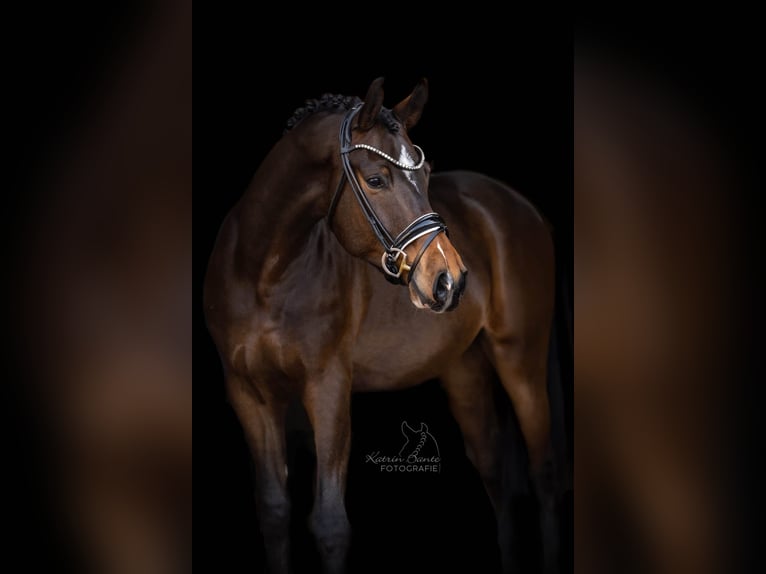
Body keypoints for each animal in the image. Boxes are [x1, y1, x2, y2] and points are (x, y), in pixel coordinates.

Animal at [204, 77, 560, 574]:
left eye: (426, 175)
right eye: (376, 179)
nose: (449, 279)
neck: (263, 276)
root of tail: (521, 206)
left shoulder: (328, 386)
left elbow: (330, 524)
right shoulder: (248, 394)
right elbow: (274, 510)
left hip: (520, 358)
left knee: (542, 471)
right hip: (464, 368)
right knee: (495, 471)